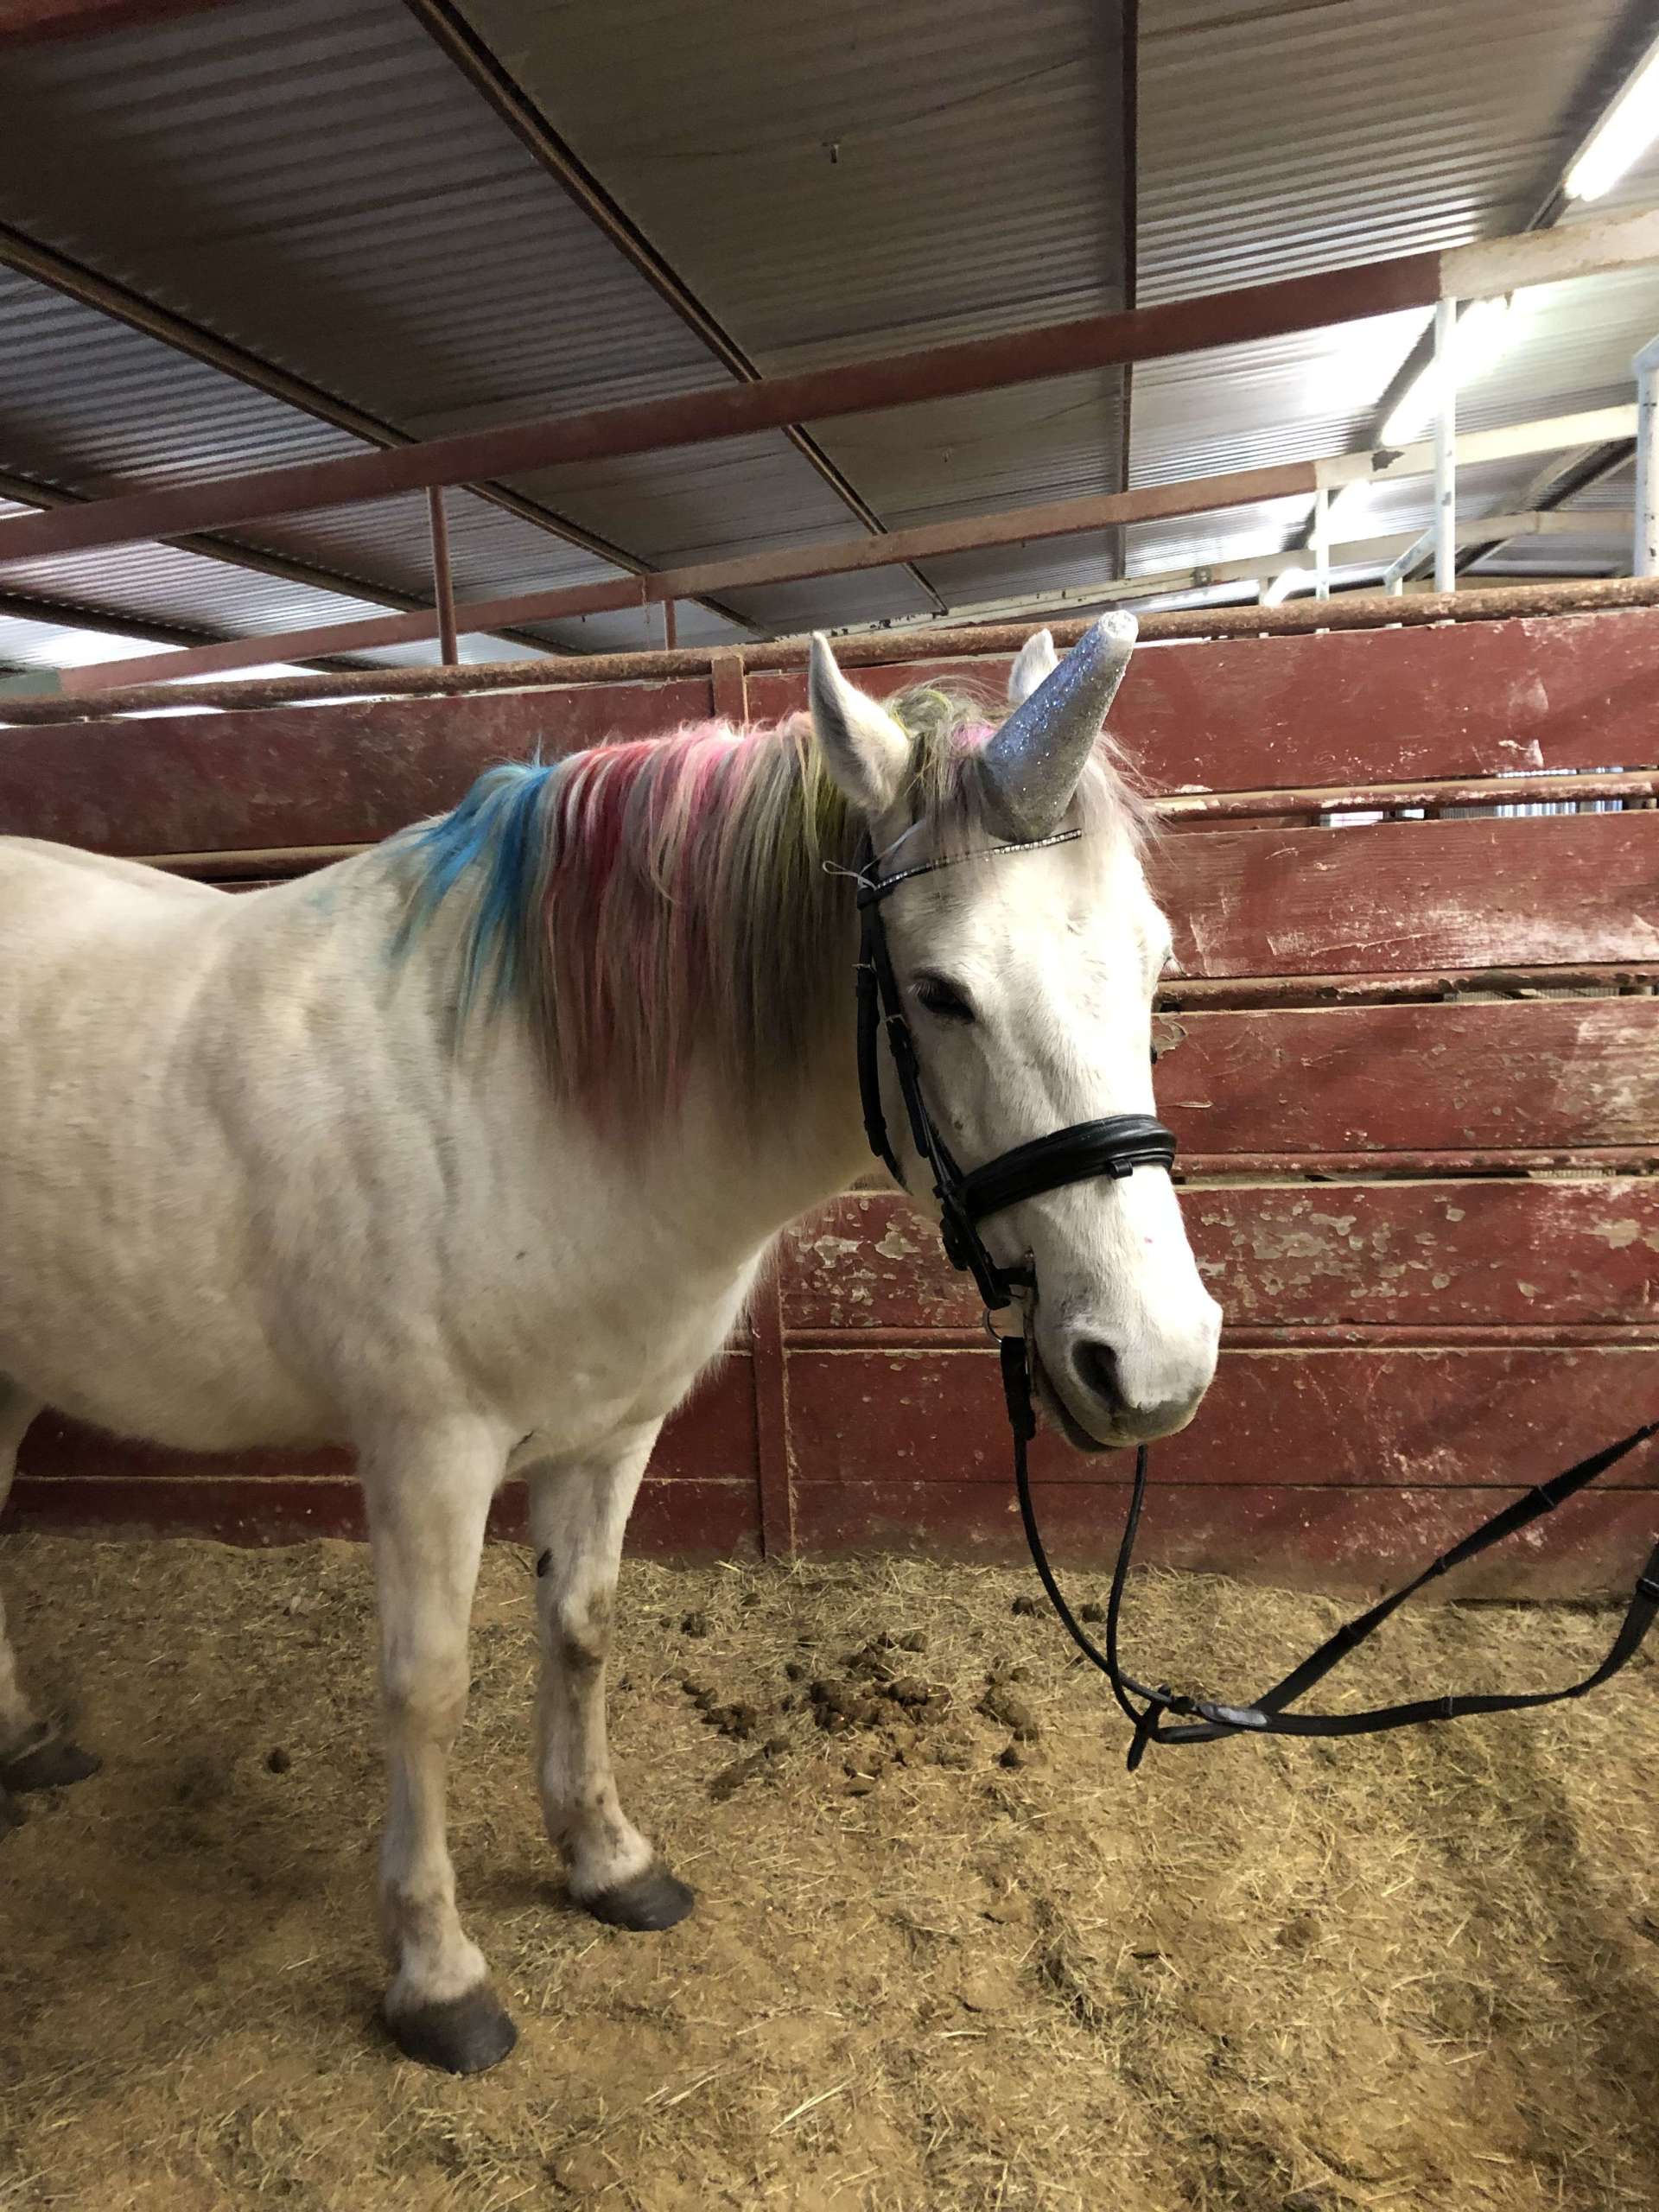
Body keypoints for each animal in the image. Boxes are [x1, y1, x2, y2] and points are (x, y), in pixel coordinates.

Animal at [0, 616, 1220, 2073]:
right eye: (939, 994)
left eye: (1150, 962)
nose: (1156, 1365)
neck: (515, 1086)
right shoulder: (427, 1453)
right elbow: (426, 1690)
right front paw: (438, 1974)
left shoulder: (611, 1429)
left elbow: (580, 1633)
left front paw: (607, 1860)